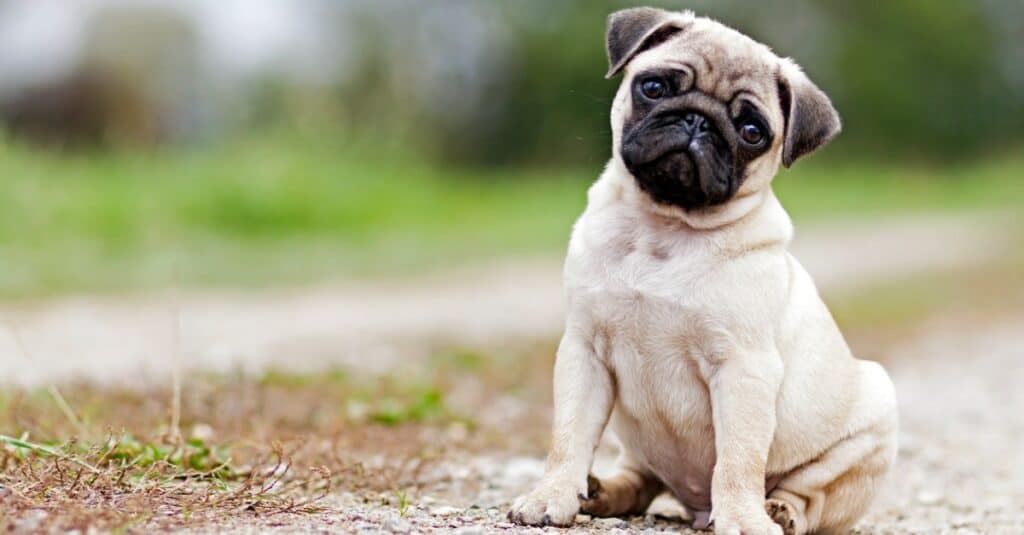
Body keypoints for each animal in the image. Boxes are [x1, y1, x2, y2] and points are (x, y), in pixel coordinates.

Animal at [509, 8, 897, 532]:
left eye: (752, 132)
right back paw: (600, 492)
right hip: (638, 445)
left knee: (810, 495)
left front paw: (744, 518)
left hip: (874, 415)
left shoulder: (742, 369)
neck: (664, 228)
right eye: (654, 87)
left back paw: (778, 511)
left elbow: (738, 458)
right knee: (639, 480)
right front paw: (551, 494)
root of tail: (693, 507)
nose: (698, 120)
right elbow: (568, 436)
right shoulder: (583, 351)